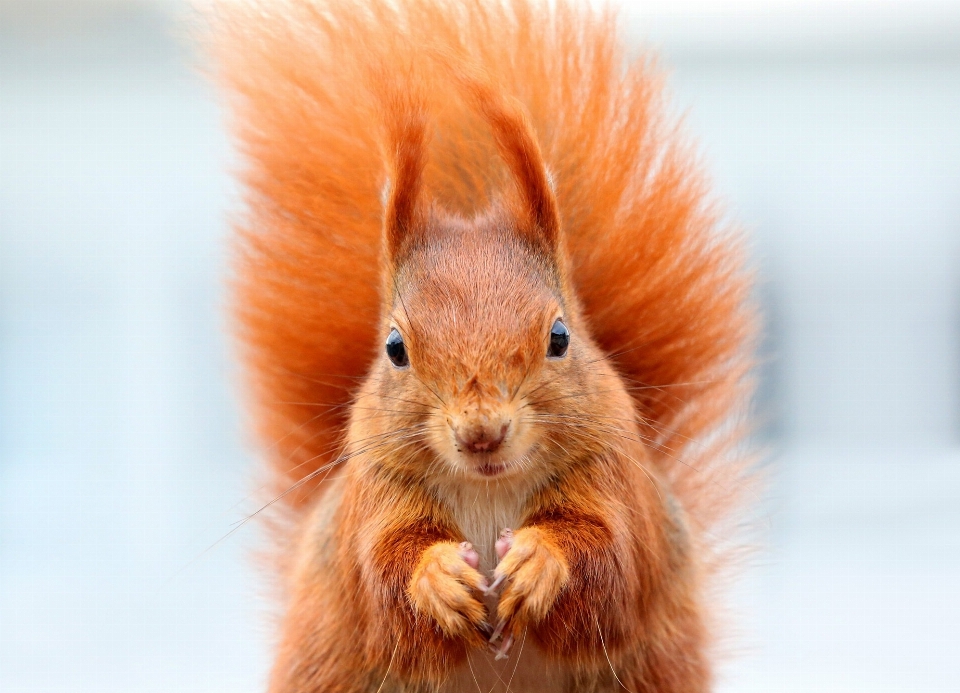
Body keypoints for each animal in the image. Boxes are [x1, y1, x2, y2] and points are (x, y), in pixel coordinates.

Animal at [208, 1, 756, 692]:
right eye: (395, 347)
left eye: (559, 337)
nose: (481, 434)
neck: (490, 489)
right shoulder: (374, 498)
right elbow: (383, 577)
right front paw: (435, 579)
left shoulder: (617, 482)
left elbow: (611, 564)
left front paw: (541, 561)